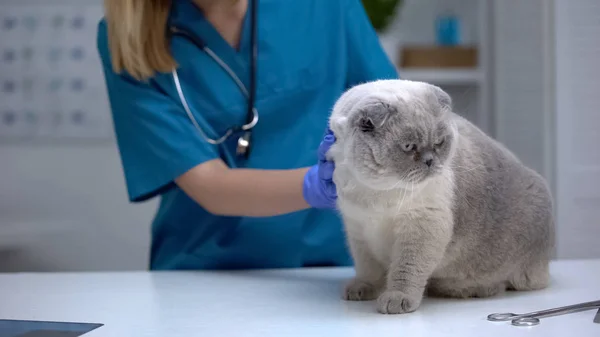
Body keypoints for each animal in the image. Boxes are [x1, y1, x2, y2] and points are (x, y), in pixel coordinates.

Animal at [326, 79, 556, 316]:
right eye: (409, 146)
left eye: (438, 143)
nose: (430, 161)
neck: (378, 193)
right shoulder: (358, 230)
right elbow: (368, 270)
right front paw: (361, 290)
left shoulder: (423, 225)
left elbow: (406, 269)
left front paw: (397, 300)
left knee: (509, 282)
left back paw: (479, 289)